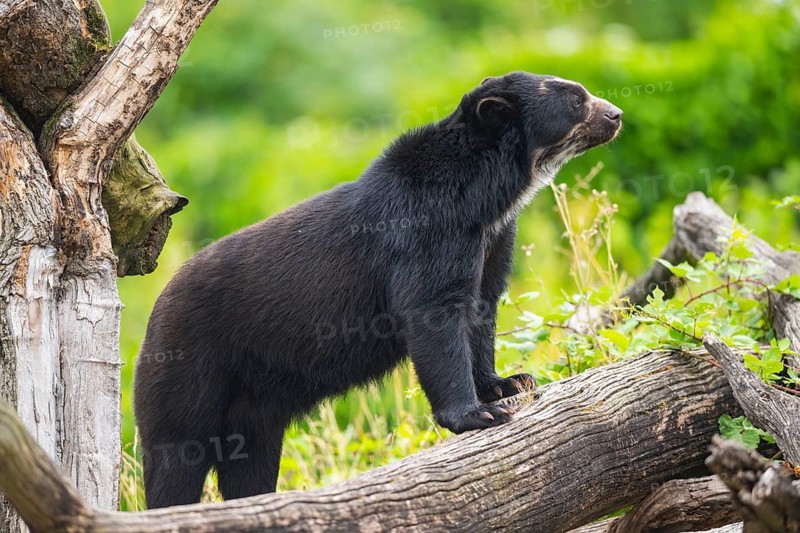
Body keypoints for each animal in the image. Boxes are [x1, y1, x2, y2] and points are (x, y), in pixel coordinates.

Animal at [134, 71, 623, 508]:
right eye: (574, 99)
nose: (616, 114)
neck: (483, 203)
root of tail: (153, 312)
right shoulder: (426, 236)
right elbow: (433, 315)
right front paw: (478, 414)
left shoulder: (494, 242)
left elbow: (481, 313)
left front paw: (509, 384)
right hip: (189, 367)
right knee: (178, 453)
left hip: (255, 402)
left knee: (249, 459)